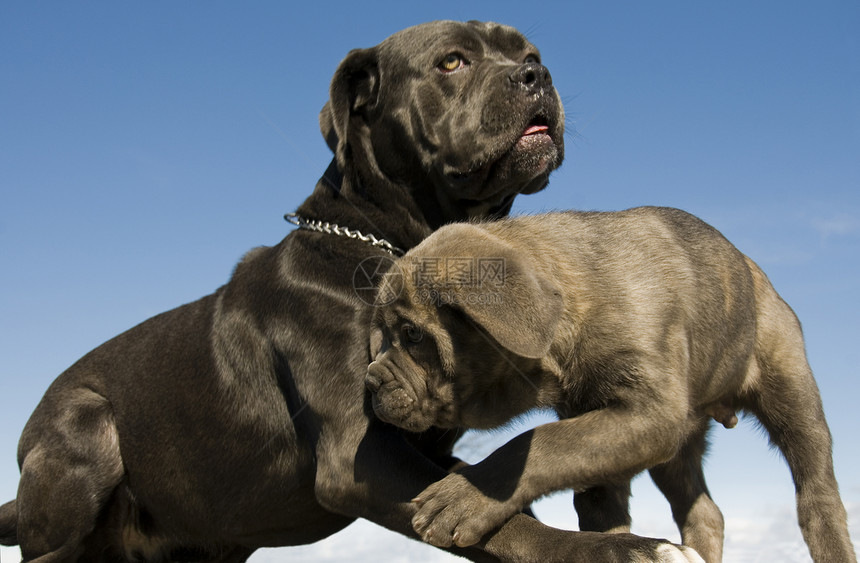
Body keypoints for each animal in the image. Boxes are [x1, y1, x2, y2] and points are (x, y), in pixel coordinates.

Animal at [0, 19, 700, 563]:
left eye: (528, 52)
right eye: (452, 60)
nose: (537, 74)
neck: (389, 242)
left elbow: (493, 498)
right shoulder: (357, 456)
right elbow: (506, 523)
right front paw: (624, 548)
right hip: (84, 430)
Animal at [366, 208, 856, 563]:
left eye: (412, 334)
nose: (369, 381)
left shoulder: (646, 414)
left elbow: (543, 442)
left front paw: (467, 495)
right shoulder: (610, 428)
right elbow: (592, 495)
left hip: (791, 394)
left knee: (818, 494)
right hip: (678, 447)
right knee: (705, 513)